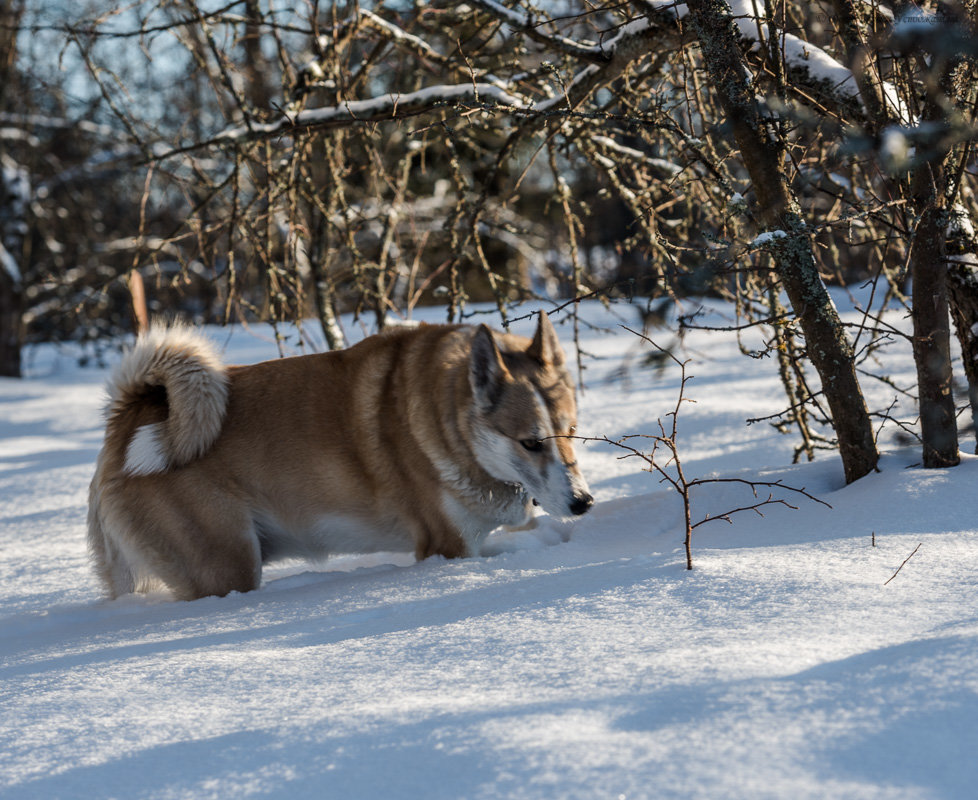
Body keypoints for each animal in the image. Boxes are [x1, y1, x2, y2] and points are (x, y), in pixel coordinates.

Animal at [91, 312, 592, 600]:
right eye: (530, 442)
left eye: (572, 431)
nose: (583, 503)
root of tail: (129, 415)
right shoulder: (450, 547)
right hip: (227, 565)